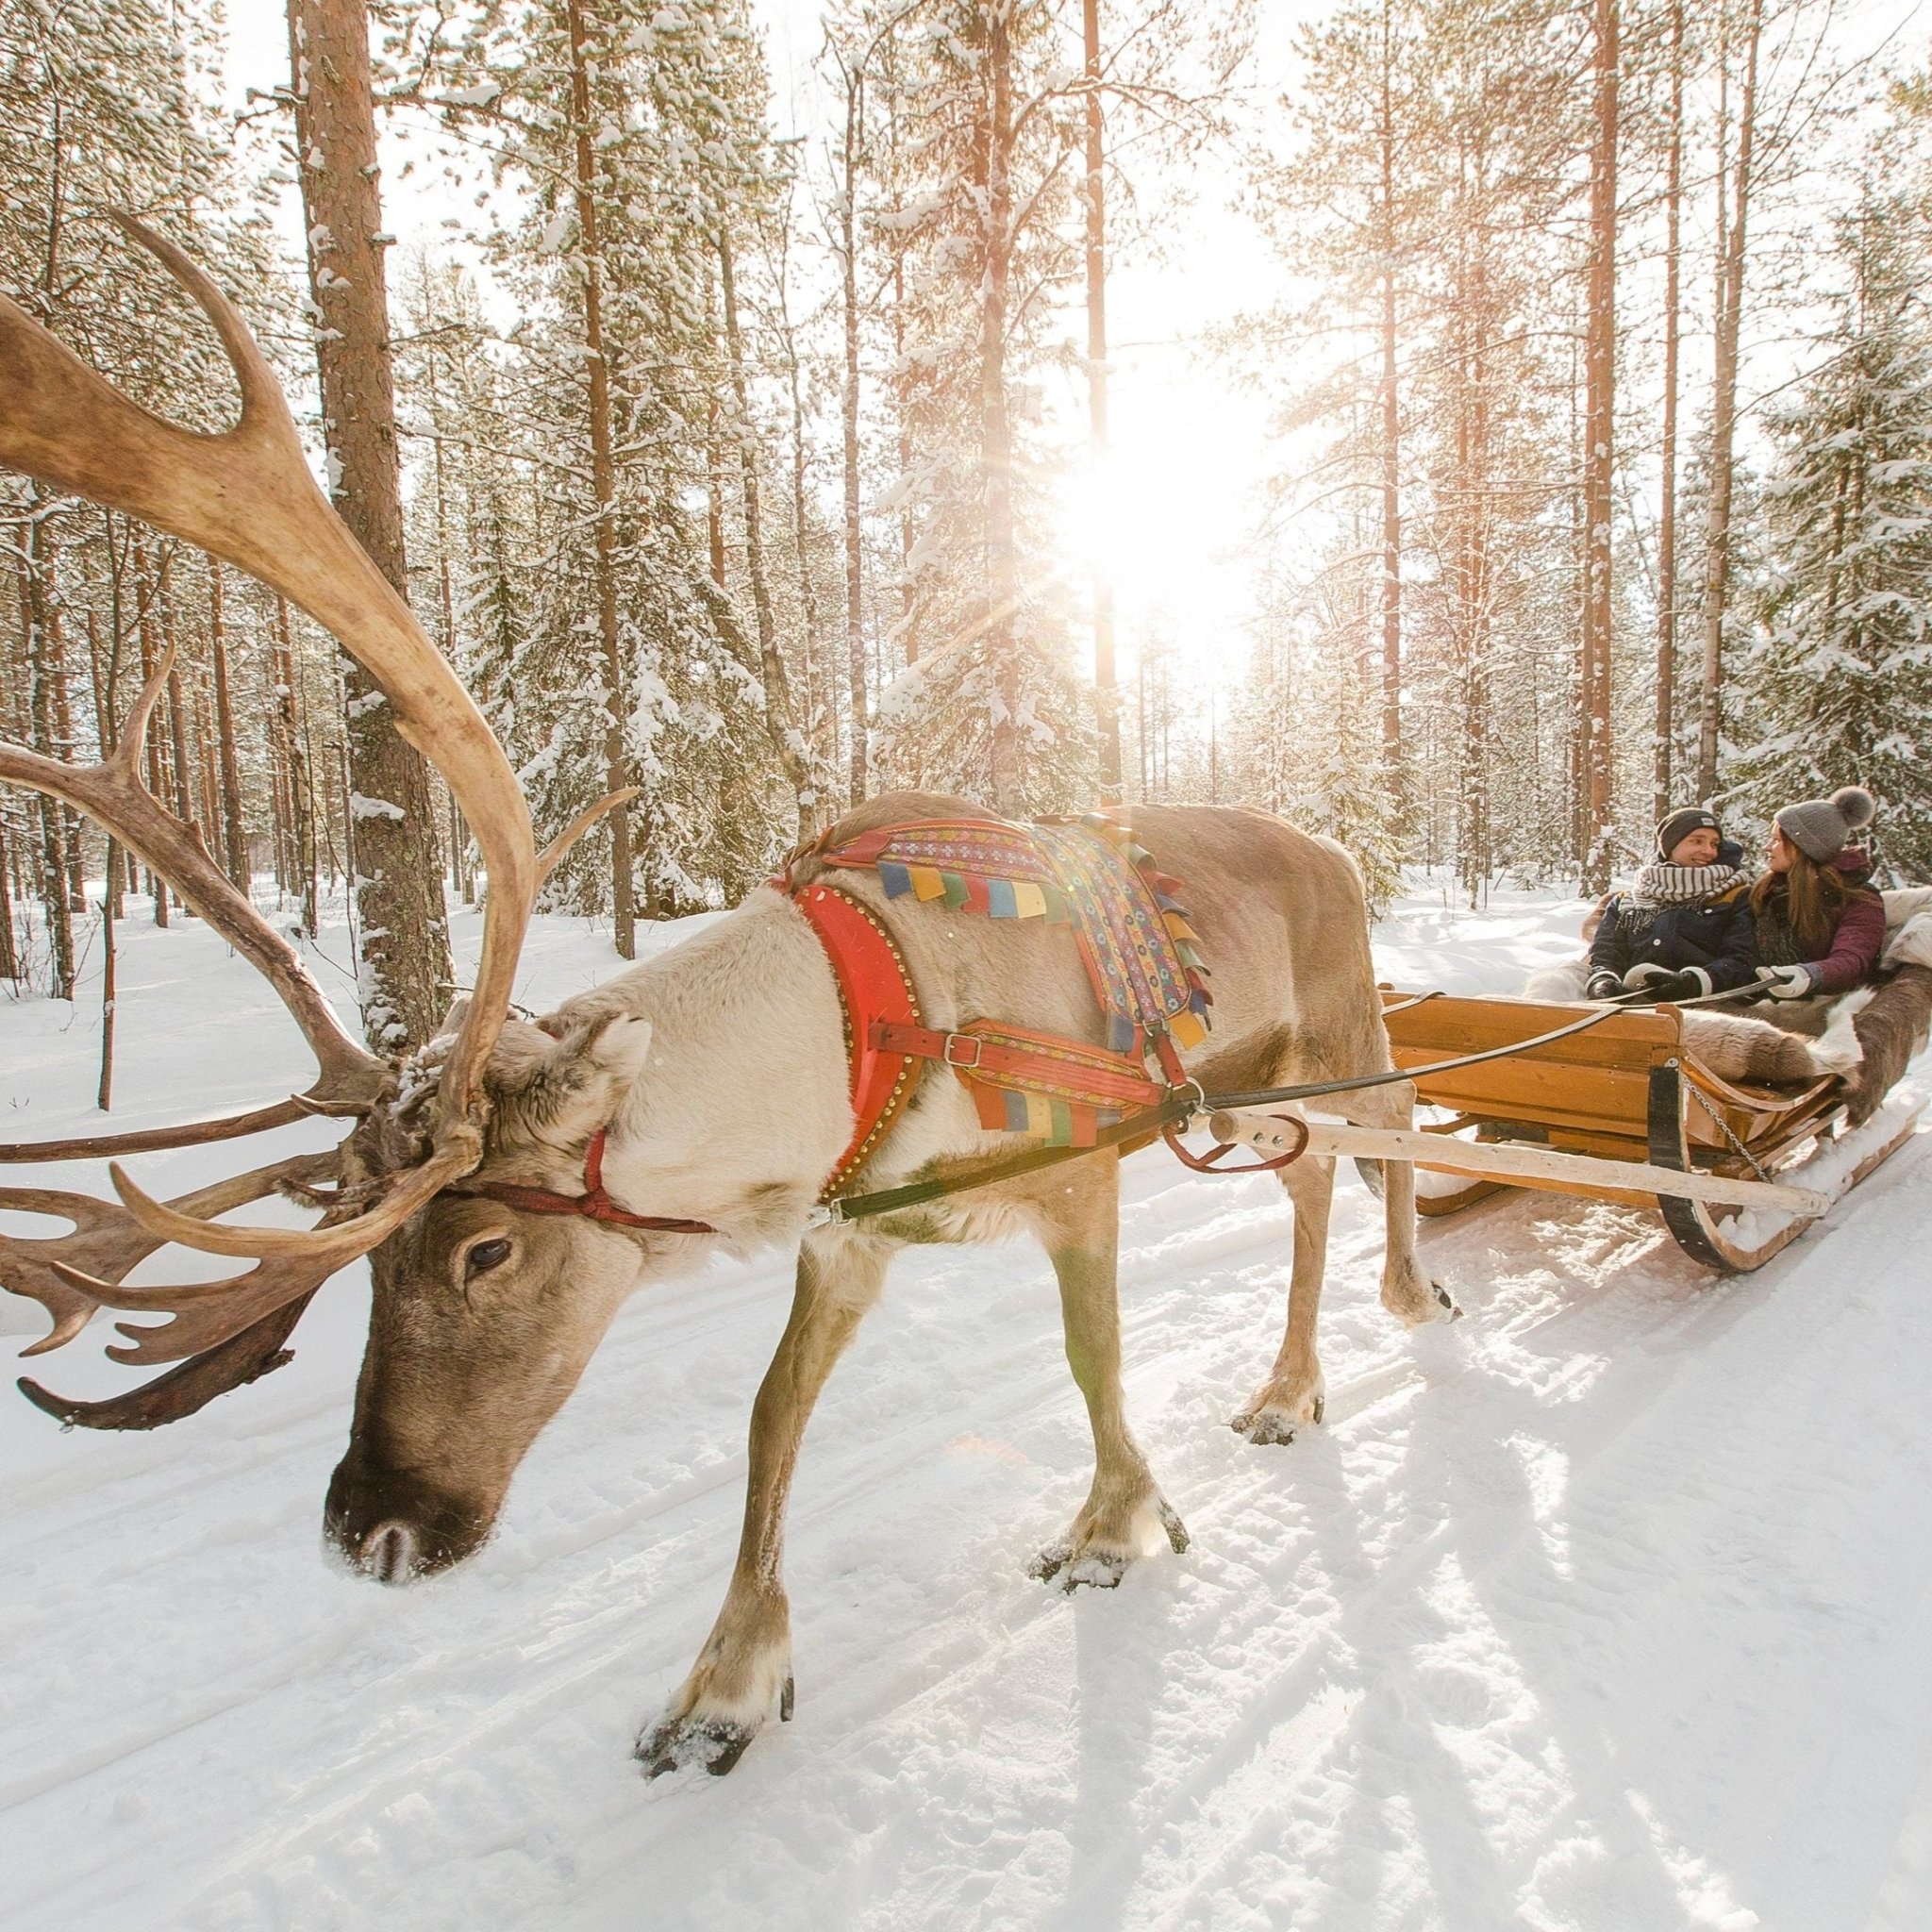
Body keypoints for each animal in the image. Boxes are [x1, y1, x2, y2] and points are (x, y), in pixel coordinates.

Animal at [0, 222, 1455, 1780]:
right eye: (362, 1255)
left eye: (486, 1251)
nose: (372, 1530)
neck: (868, 1017)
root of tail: (1338, 843)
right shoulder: (846, 1226)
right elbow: (770, 1422)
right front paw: (727, 1684)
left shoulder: (1076, 1184)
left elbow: (1092, 1361)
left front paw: (1115, 1527)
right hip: (1241, 1103)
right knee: (1319, 1179)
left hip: (1336, 1039)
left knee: (1385, 1146)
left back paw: (1361, 1331)